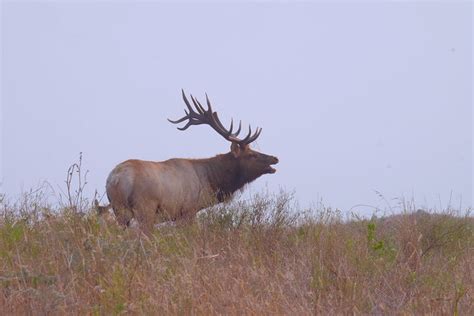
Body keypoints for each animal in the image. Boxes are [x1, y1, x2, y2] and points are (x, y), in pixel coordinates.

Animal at [104, 90, 278, 233]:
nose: (275, 158)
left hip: (119, 209)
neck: (210, 181)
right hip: (145, 207)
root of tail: (115, 178)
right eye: (251, 154)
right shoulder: (188, 210)